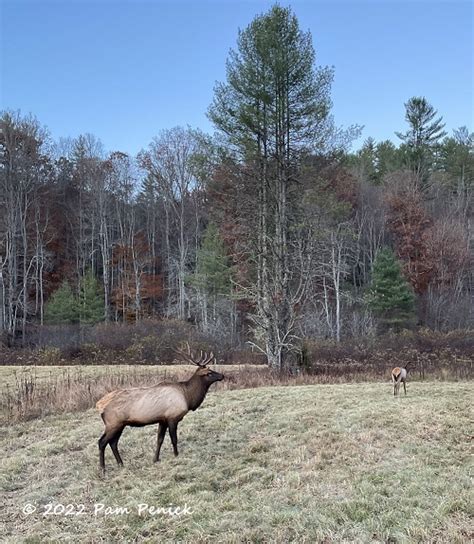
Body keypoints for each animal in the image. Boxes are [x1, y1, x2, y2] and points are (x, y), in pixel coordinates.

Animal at [96, 346, 224, 470]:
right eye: (209, 373)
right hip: (113, 423)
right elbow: (174, 439)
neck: (187, 397)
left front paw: (155, 459)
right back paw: (102, 468)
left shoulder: (162, 419)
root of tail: (99, 405)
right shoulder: (172, 417)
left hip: (120, 424)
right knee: (102, 442)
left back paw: (121, 464)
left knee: (113, 443)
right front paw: (176, 455)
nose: (222, 376)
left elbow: (160, 440)